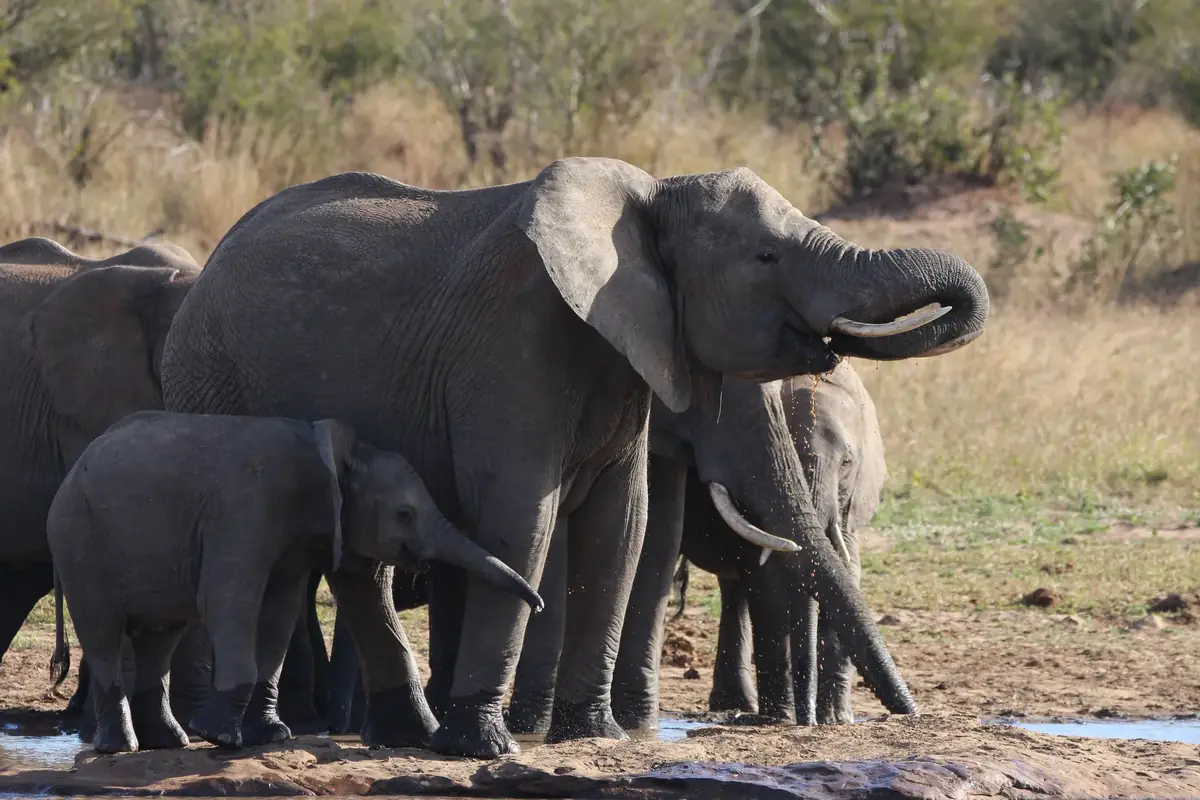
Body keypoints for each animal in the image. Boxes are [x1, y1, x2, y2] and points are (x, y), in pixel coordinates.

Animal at [46, 410, 543, 754]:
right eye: (405, 514)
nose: (538, 605)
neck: (325, 452)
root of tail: (68, 475)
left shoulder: (290, 531)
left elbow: (278, 610)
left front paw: (268, 736)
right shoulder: (244, 506)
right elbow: (230, 600)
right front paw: (220, 736)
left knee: (161, 635)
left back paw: (168, 741)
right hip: (78, 540)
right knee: (104, 631)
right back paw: (122, 746)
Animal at [159, 157, 989, 758]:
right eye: (765, 256)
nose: (908, 716)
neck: (649, 196)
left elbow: (622, 527)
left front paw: (594, 735)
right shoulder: (511, 345)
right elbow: (524, 519)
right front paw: (488, 746)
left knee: (358, 567)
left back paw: (400, 735)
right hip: (211, 379)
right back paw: (255, 734)